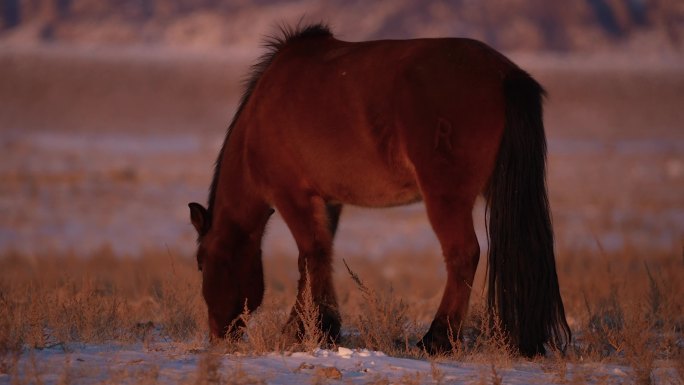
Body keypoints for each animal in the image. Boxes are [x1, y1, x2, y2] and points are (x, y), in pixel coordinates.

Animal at [188, 22, 572, 356]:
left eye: (202, 262)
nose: (218, 335)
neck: (259, 119)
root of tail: (504, 74)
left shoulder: (292, 196)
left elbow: (311, 254)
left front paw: (315, 330)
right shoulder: (328, 201)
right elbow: (317, 258)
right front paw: (307, 326)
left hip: (445, 198)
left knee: (463, 254)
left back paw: (437, 339)